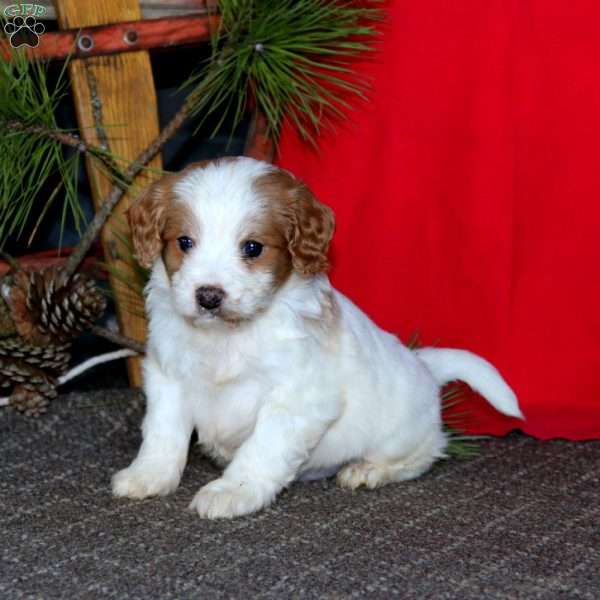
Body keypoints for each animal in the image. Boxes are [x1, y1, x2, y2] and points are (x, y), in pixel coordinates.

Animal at [111, 157, 520, 516]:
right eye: (184, 242)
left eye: (253, 248)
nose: (208, 296)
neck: (228, 334)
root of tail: (424, 365)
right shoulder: (168, 376)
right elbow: (163, 432)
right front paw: (148, 475)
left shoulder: (297, 398)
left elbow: (262, 446)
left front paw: (232, 491)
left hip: (403, 434)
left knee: (423, 454)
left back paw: (369, 469)